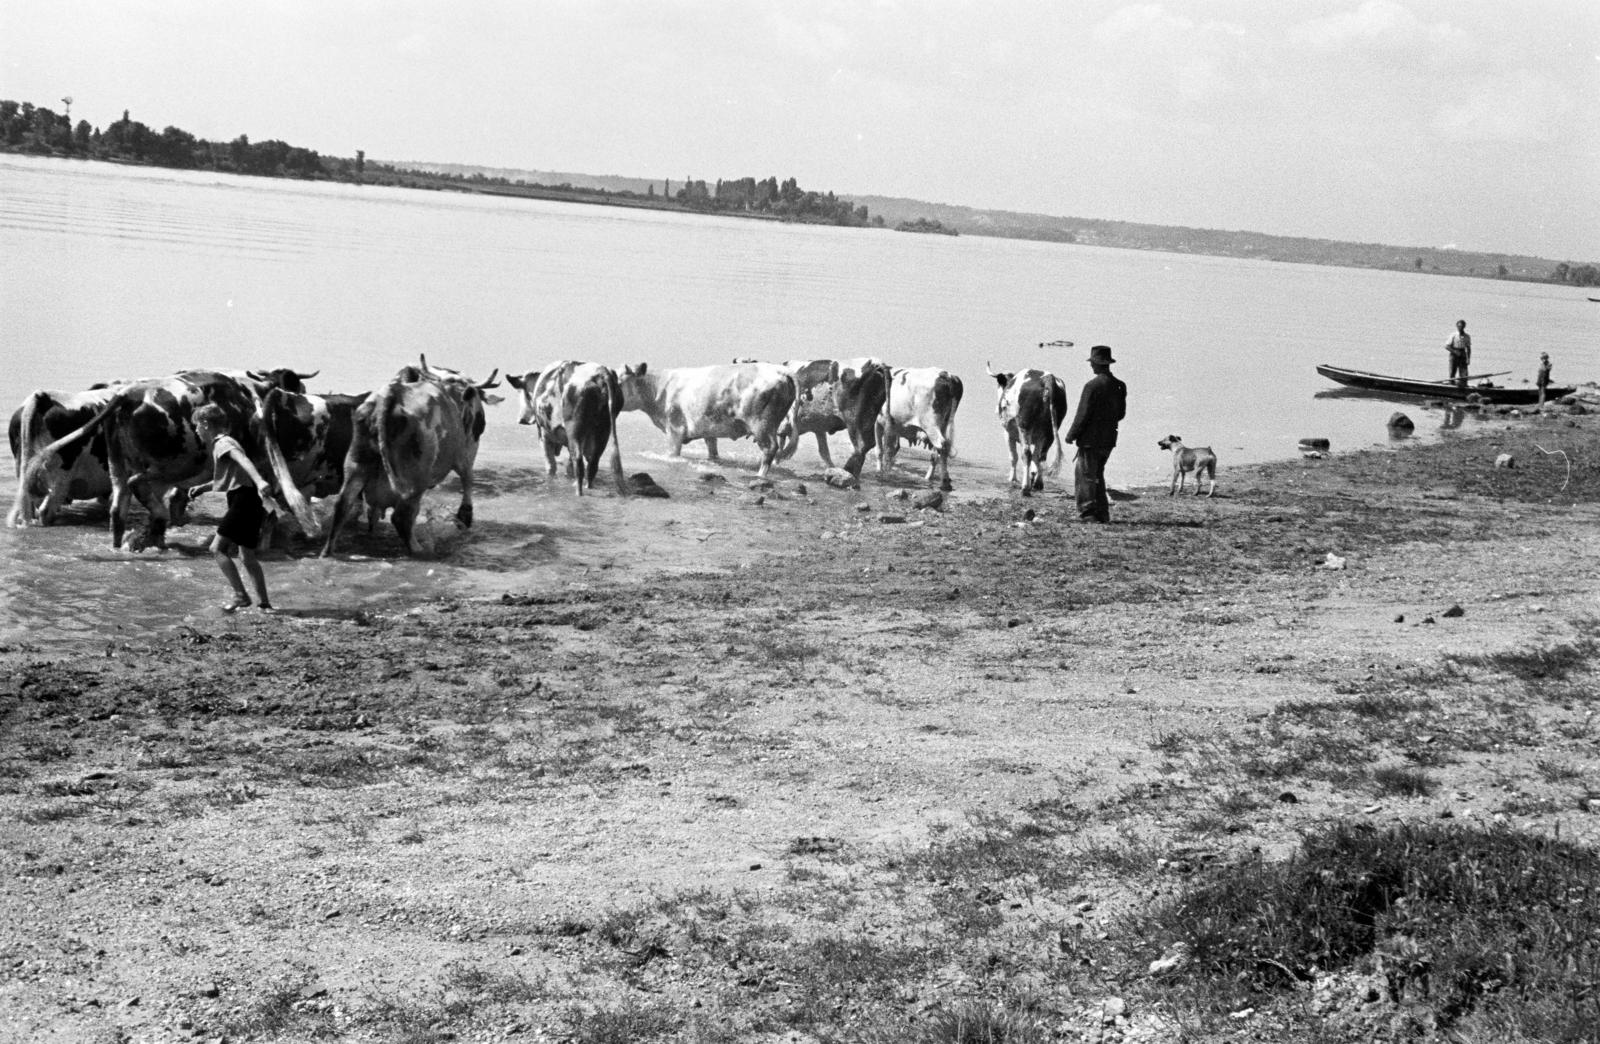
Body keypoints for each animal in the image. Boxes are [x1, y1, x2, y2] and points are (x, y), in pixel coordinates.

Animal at [318, 357, 499, 557]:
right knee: (401, 517)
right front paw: (464, 518)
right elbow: (467, 482)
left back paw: (327, 551)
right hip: (416, 476)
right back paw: (420, 550)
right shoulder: (465, 454)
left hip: (356, 464)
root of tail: (388, 399)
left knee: (342, 505)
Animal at [560, 363, 627, 496]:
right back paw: (588, 486)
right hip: (604, 427)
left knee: (578, 459)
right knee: (593, 461)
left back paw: (578, 490)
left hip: (574, 426)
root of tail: (603, 373)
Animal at [620, 360, 800, 480]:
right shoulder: (708, 429)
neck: (659, 387)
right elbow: (712, 451)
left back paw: (760, 475)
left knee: (770, 448)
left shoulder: (675, 429)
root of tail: (781, 370)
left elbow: (673, 455)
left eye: (619, 381)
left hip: (761, 424)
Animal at [979, 365, 1068, 496]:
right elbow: (1035, 458)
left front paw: (1013, 479)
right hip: (1050, 431)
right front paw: (1033, 477)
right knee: (1041, 455)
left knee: (1026, 453)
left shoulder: (1008, 433)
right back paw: (1038, 483)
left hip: (1025, 425)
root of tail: (1047, 378)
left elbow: (1013, 456)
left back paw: (1025, 487)